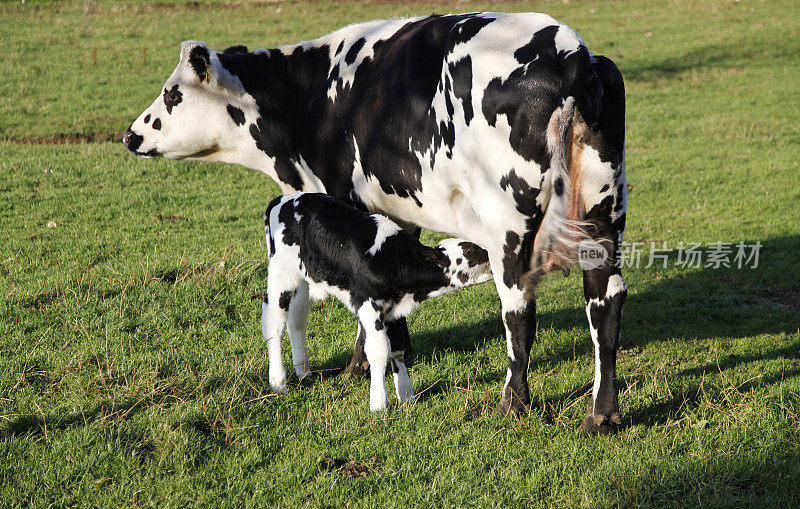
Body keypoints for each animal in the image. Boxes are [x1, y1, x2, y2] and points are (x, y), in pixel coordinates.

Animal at [262, 190, 494, 408]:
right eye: (470, 250)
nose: (494, 255)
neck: (393, 260)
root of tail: (283, 199)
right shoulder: (368, 305)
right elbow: (379, 350)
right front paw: (378, 404)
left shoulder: (394, 310)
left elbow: (398, 349)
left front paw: (407, 397)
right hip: (281, 273)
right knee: (273, 322)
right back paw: (278, 382)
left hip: (305, 278)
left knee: (297, 318)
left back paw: (303, 372)